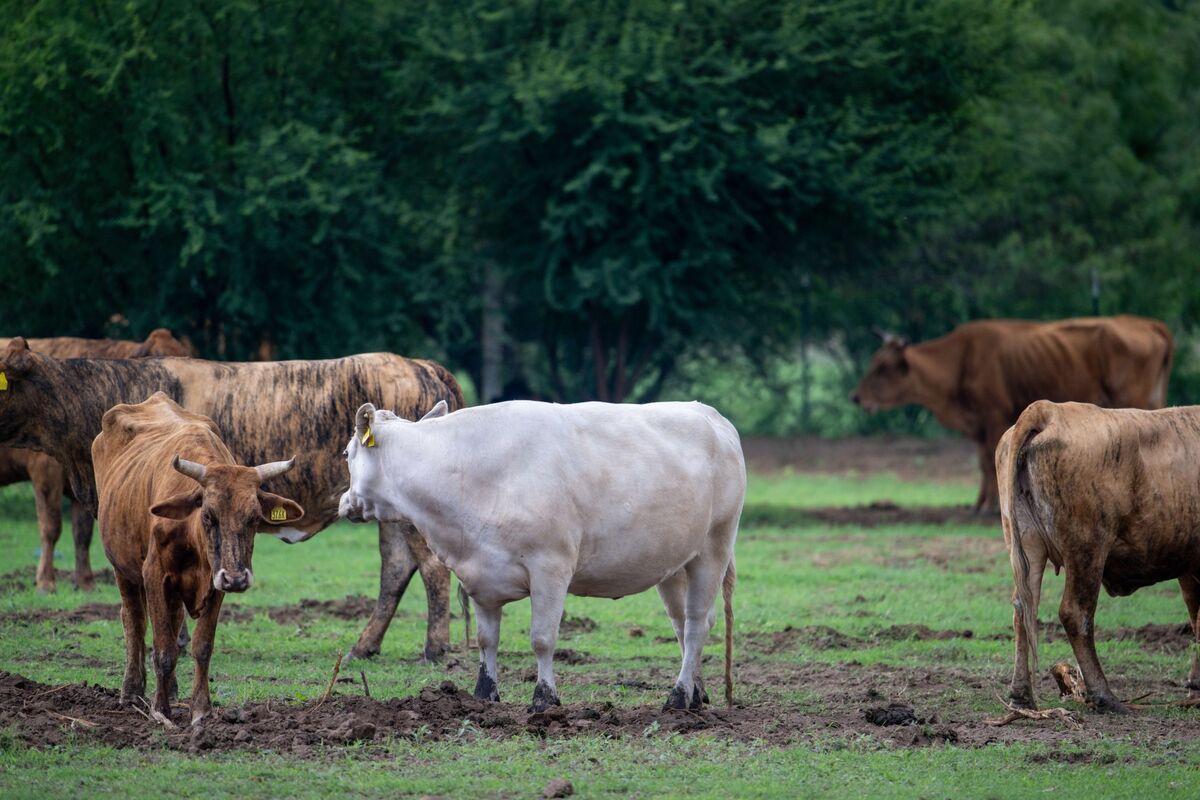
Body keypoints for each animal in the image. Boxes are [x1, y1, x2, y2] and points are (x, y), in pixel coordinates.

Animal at [93, 393, 305, 725]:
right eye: (208, 515)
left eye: (255, 518)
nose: (237, 579)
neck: (192, 538)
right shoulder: (155, 576)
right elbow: (163, 649)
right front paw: (161, 711)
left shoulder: (216, 582)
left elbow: (201, 646)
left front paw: (201, 709)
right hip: (122, 569)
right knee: (134, 621)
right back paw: (132, 690)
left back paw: (172, 688)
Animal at [338, 399, 744, 712]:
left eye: (346, 453)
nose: (344, 502)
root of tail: (709, 414)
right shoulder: (479, 574)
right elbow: (487, 639)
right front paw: (485, 694)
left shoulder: (551, 567)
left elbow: (542, 638)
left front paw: (544, 698)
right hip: (673, 564)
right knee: (683, 624)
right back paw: (696, 692)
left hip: (714, 546)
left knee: (696, 624)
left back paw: (678, 696)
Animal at [851, 316, 1173, 514]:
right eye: (874, 360)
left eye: (882, 367)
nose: (856, 397)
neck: (960, 360)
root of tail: (1148, 324)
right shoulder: (978, 427)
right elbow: (981, 464)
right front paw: (978, 504)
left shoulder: (993, 418)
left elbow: (987, 461)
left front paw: (989, 506)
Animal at [998, 399, 1200, 713]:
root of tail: (1049, 409)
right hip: (1087, 549)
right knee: (1075, 612)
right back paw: (1104, 695)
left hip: (1026, 546)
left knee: (1022, 609)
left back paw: (1021, 696)